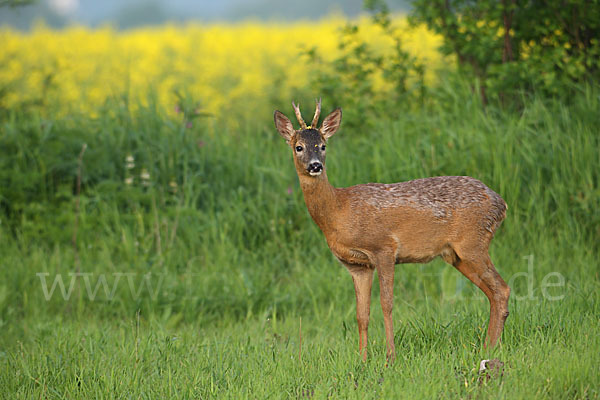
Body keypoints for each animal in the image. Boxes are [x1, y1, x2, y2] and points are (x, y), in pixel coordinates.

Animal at [274, 100, 508, 362]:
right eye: (299, 147)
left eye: (323, 146)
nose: (316, 166)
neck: (339, 210)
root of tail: (501, 204)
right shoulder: (357, 265)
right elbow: (361, 314)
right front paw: (362, 359)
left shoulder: (384, 248)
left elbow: (387, 304)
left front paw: (390, 356)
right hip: (457, 255)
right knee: (492, 292)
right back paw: (488, 346)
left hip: (473, 243)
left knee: (502, 288)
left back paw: (490, 348)